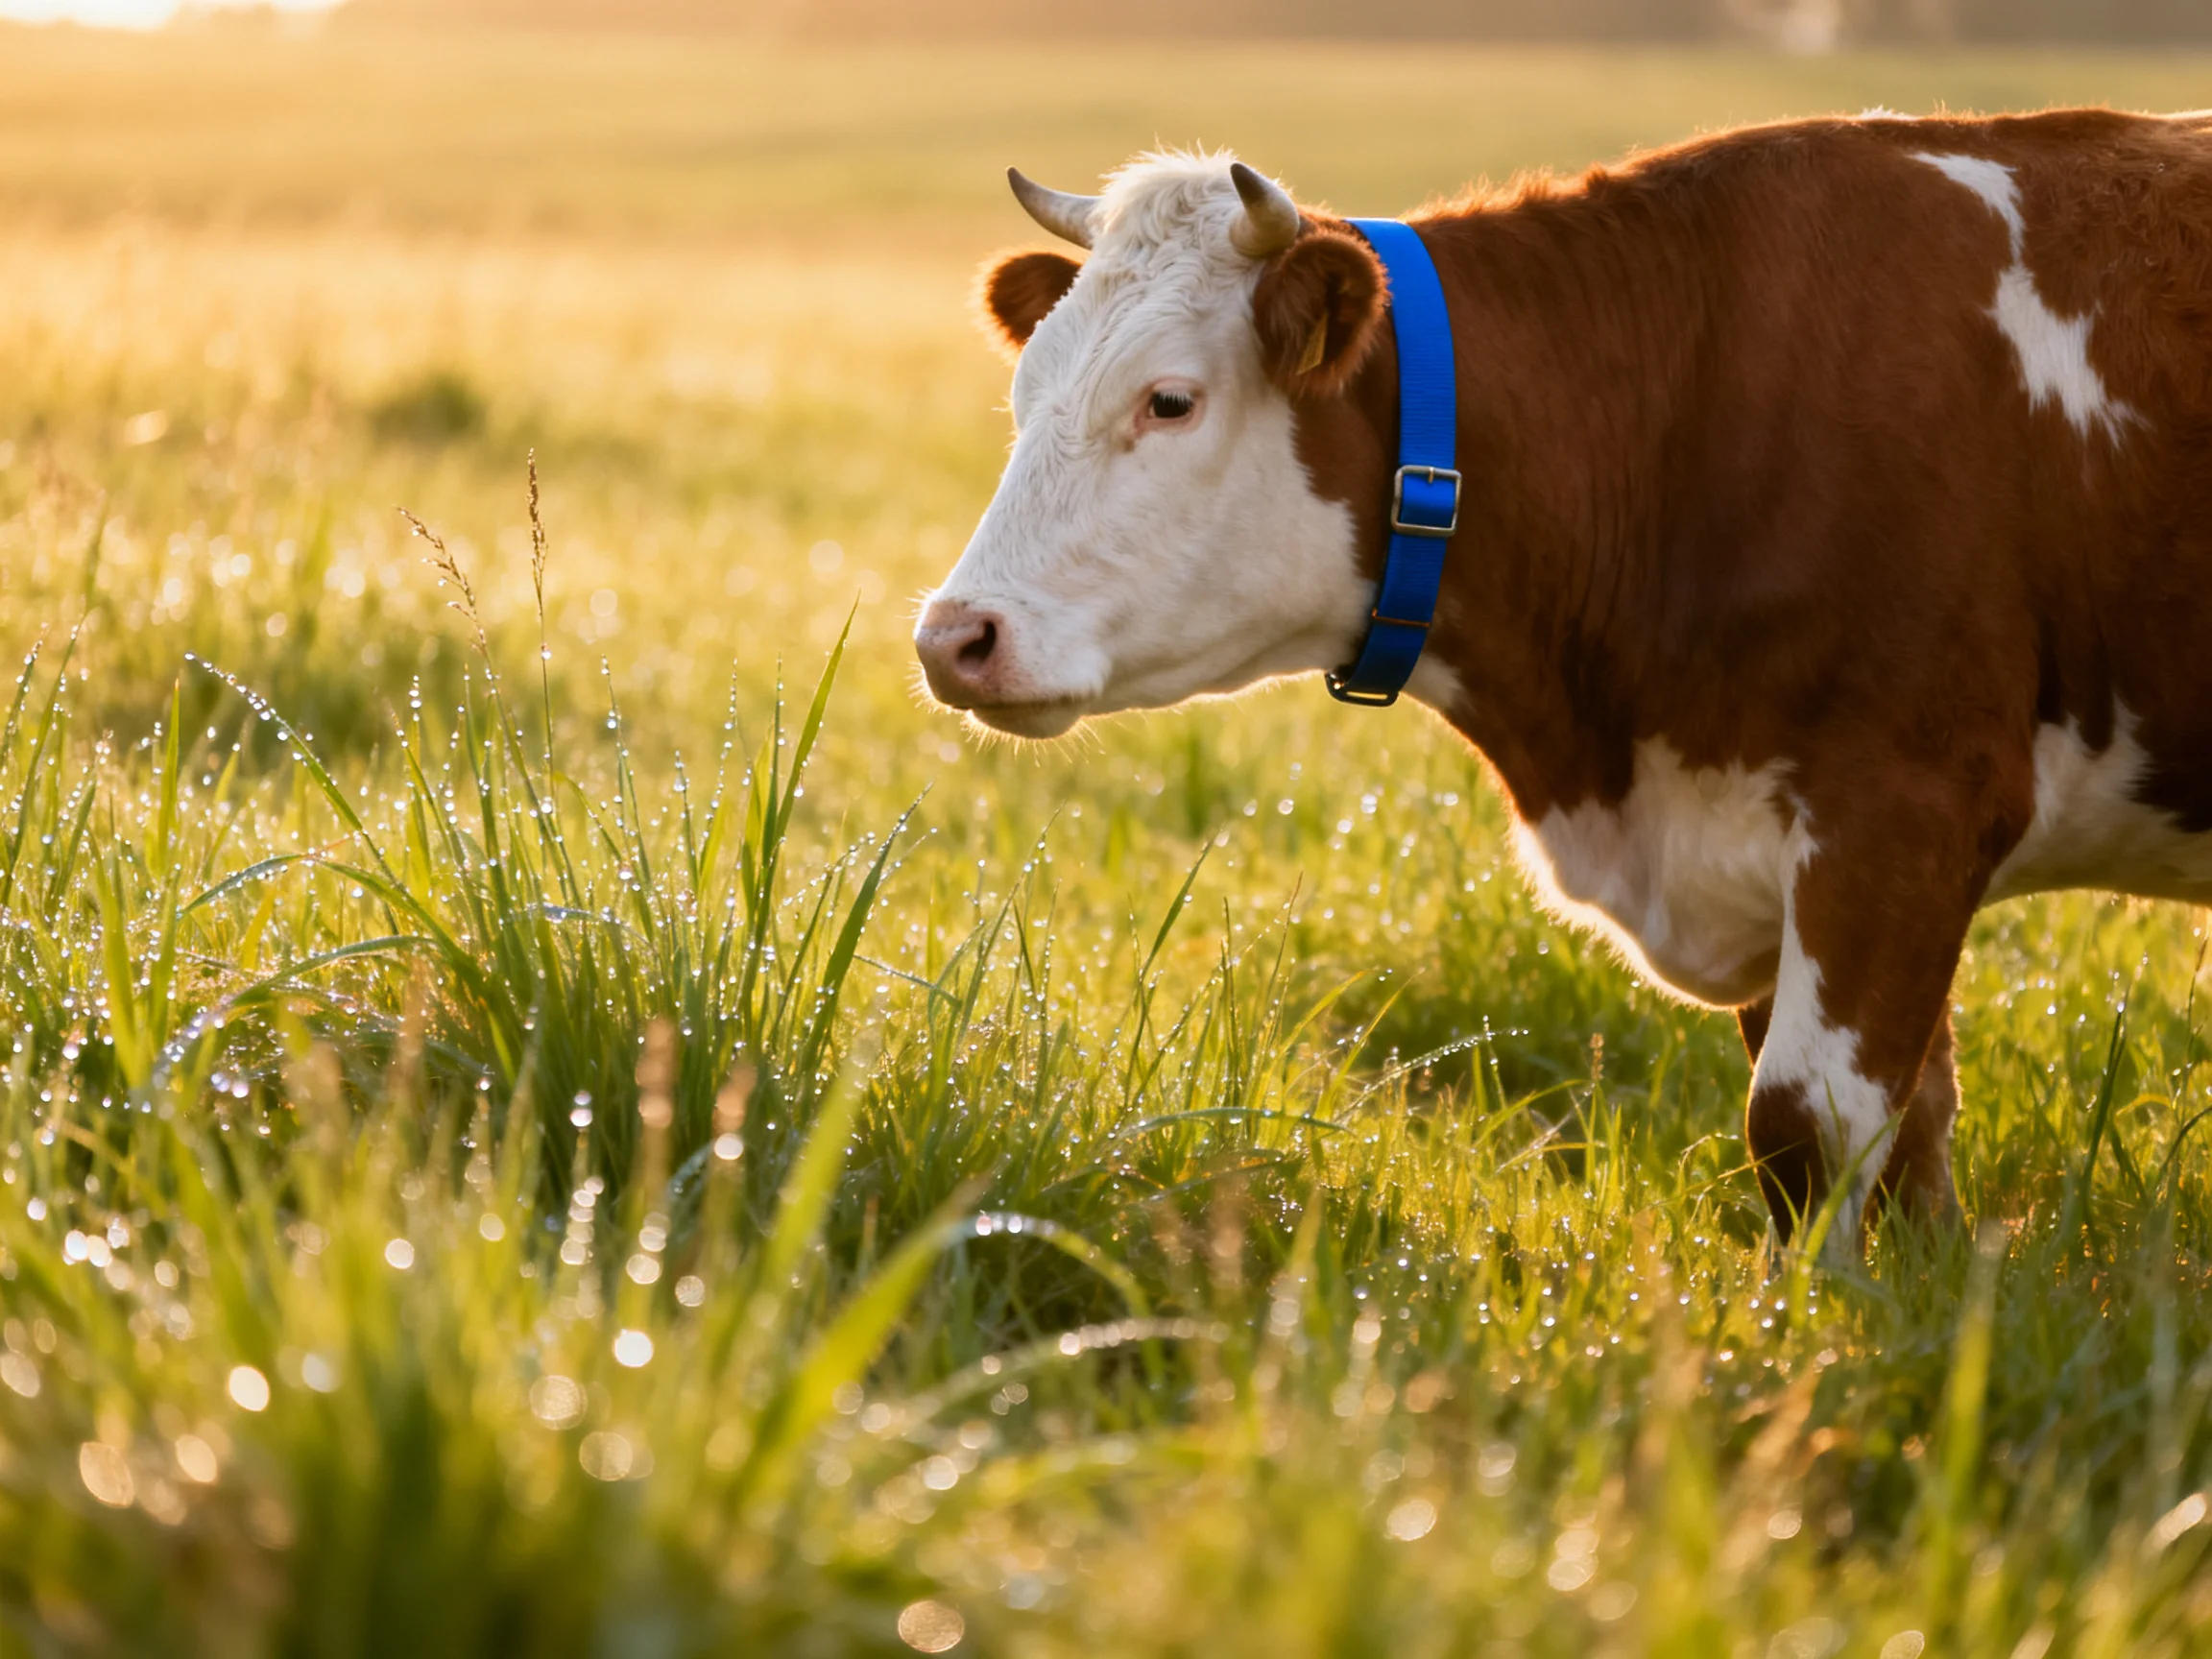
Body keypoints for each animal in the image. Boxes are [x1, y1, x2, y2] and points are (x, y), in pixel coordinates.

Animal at [912, 112, 2212, 1257]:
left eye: (1169, 399)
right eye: (1024, 396)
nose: (954, 637)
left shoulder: (1906, 807)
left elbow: (1807, 1127)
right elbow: (1907, 1137)